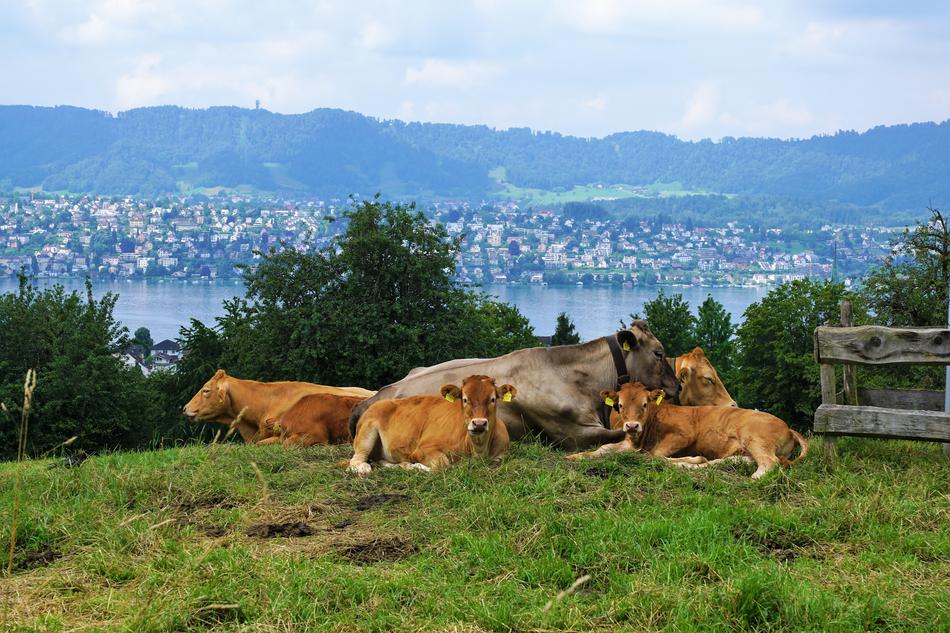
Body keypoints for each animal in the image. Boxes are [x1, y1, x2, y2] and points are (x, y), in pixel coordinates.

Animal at [347, 375, 514, 475]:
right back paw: (365, 467)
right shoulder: (423, 449)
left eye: (493, 399)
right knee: (355, 461)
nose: (479, 423)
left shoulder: (501, 453)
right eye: (465, 399)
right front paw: (415, 466)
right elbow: (442, 464)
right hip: (366, 433)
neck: (477, 450)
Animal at [566, 382, 808, 479]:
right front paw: (576, 456)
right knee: (729, 462)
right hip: (744, 451)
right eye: (620, 405)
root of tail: (788, 427)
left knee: (769, 463)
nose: (632, 425)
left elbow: (654, 455)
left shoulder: (682, 435)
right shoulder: (628, 442)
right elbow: (605, 448)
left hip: (756, 438)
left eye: (645, 404)